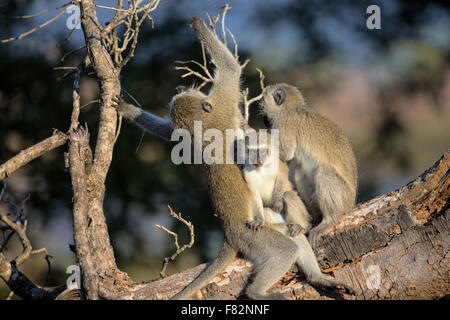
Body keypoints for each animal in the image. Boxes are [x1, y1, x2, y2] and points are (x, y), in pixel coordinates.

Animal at [260, 83, 358, 245]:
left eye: (263, 98)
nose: (260, 106)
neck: (292, 108)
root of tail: (352, 203)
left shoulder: (284, 123)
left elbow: (286, 154)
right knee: (299, 172)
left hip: (345, 198)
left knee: (324, 172)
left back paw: (330, 219)